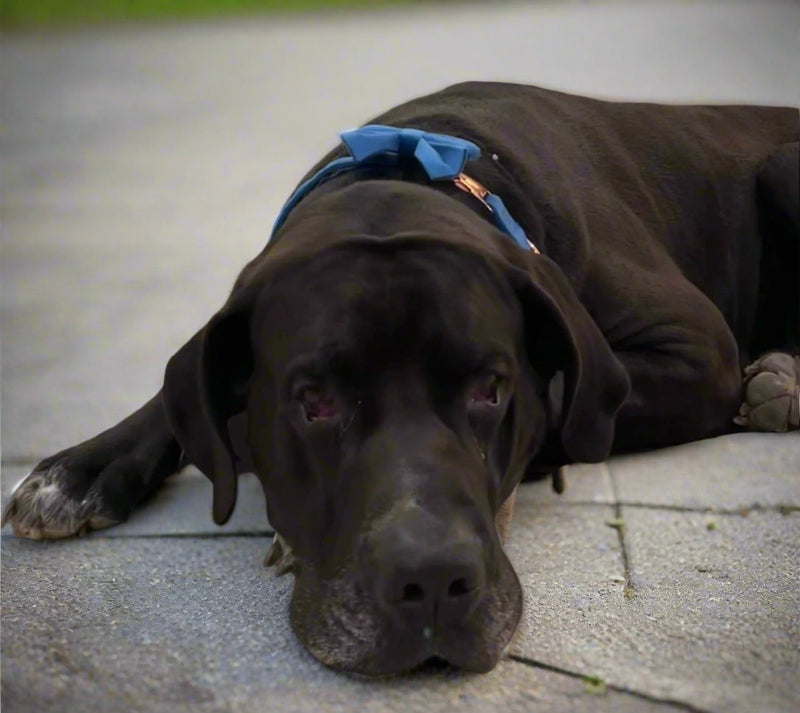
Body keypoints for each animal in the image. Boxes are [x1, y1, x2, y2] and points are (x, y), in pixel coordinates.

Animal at [6, 82, 800, 672]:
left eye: (491, 390)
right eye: (313, 401)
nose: (433, 582)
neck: (411, 160)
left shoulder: (697, 350)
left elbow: (554, 404)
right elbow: (182, 393)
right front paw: (79, 468)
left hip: (782, 166)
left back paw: (781, 383)